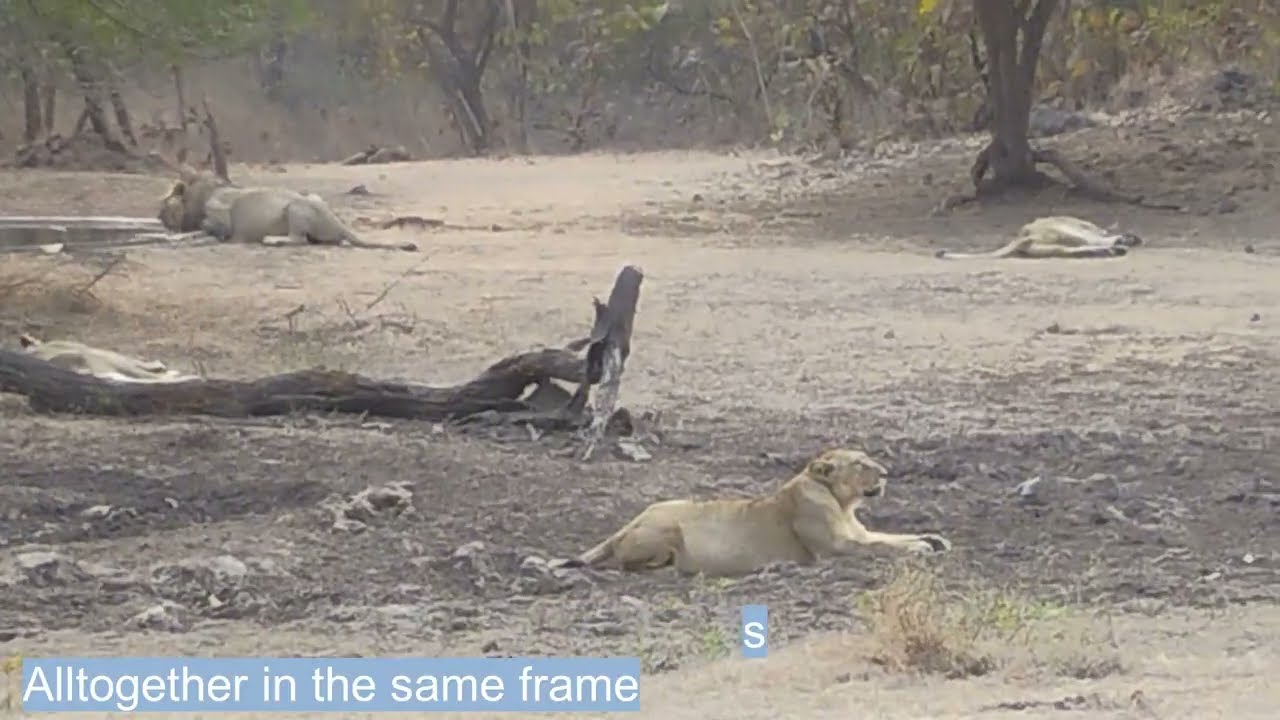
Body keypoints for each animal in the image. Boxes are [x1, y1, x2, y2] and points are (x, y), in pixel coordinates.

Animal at [158, 168, 417, 252]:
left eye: (164, 203)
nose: (158, 216)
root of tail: (337, 222)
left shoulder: (223, 221)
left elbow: (209, 226)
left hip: (296, 207)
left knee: (299, 239)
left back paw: (272, 240)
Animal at [555, 448, 951, 577]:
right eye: (859, 464)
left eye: (869, 459)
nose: (885, 472)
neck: (842, 503)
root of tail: (630, 522)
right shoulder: (836, 548)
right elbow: (882, 547)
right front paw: (920, 548)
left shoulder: (860, 533)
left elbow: (889, 537)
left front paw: (934, 538)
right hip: (668, 528)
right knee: (630, 564)